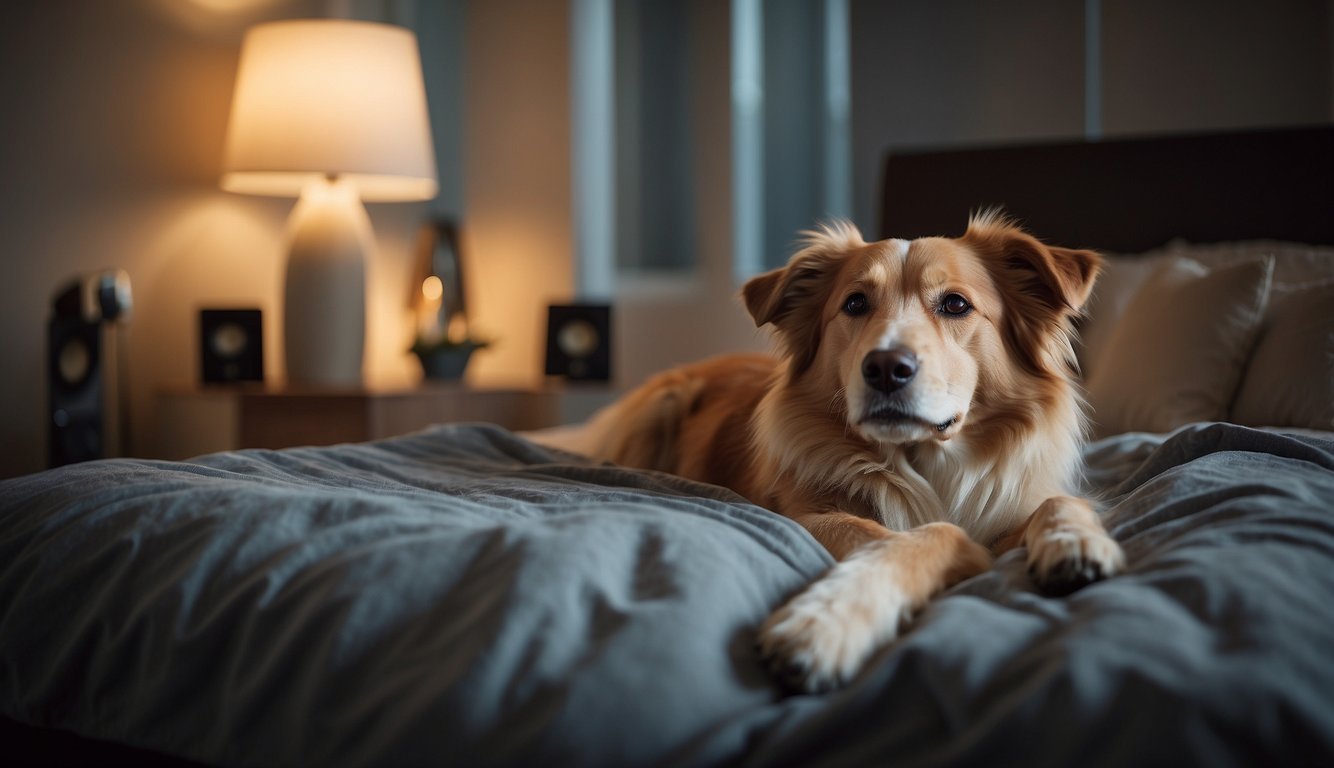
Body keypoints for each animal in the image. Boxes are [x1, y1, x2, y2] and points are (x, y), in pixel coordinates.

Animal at [536, 213, 1120, 693]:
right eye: (855, 303)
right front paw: (826, 623)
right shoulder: (801, 515)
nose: (885, 368)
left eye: (956, 304)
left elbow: (1058, 502)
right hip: (659, 404)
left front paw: (1074, 543)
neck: (926, 462)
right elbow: (933, 535)